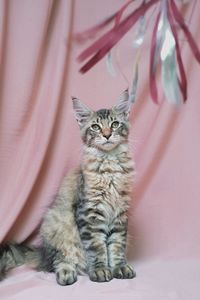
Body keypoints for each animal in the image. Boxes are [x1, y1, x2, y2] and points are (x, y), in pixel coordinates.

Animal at [0, 89, 136, 286]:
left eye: (115, 124)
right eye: (95, 127)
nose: (107, 134)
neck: (109, 166)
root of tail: (42, 252)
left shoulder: (120, 213)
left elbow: (117, 245)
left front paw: (119, 267)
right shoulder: (89, 214)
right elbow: (97, 247)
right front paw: (100, 270)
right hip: (57, 227)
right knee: (60, 260)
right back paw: (66, 273)